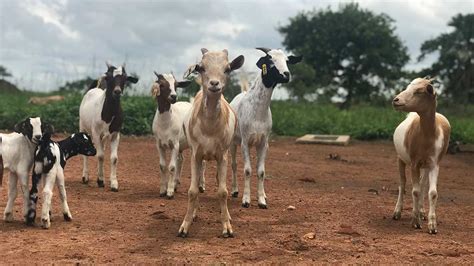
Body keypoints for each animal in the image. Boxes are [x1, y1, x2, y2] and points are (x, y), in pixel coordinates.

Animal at [79, 62, 139, 191]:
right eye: (109, 77)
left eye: (124, 78)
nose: (117, 91)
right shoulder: (96, 133)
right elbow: (100, 155)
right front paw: (100, 181)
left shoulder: (115, 134)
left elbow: (113, 158)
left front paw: (113, 183)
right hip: (82, 126)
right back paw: (85, 177)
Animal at [178, 47, 244, 237]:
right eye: (201, 67)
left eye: (227, 69)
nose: (214, 84)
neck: (209, 128)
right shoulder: (195, 154)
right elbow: (192, 191)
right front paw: (185, 226)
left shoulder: (222, 155)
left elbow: (222, 191)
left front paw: (227, 227)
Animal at [231, 48, 304, 210]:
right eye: (270, 60)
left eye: (287, 61)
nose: (286, 75)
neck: (257, 111)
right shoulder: (245, 142)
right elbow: (247, 170)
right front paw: (246, 200)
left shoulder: (263, 143)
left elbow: (261, 172)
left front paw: (261, 201)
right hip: (232, 142)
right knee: (233, 165)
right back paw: (234, 191)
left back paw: (263, 195)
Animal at [392, 77, 452, 235]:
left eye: (419, 92)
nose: (395, 100)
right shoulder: (414, 162)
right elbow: (415, 191)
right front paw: (415, 222)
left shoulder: (434, 164)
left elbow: (432, 192)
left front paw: (432, 225)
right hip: (400, 158)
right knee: (402, 183)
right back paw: (397, 212)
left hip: (426, 165)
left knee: (423, 184)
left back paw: (422, 211)